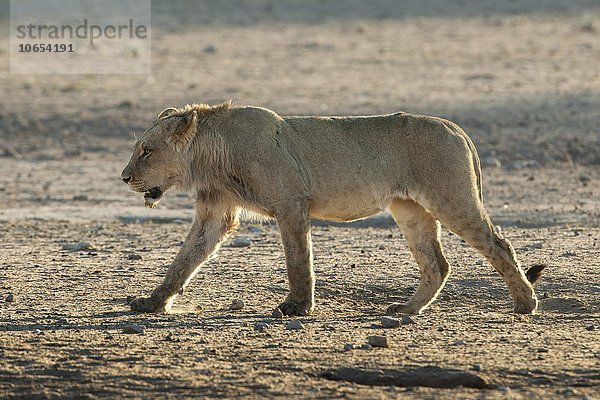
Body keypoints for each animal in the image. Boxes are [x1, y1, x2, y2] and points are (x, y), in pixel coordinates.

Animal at [122, 101, 544, 318]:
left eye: (146, 150)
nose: (124, 178)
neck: (211, 155)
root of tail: (456, 127)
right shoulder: (215, 213)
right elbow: (183, 261)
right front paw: (152, 302)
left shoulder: (291, 204)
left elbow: (298, 261)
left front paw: (296, 306)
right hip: (409, 209)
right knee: (437, 264)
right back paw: (406, 309)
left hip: (451, 200)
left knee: (499, 245)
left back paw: (525, 303)